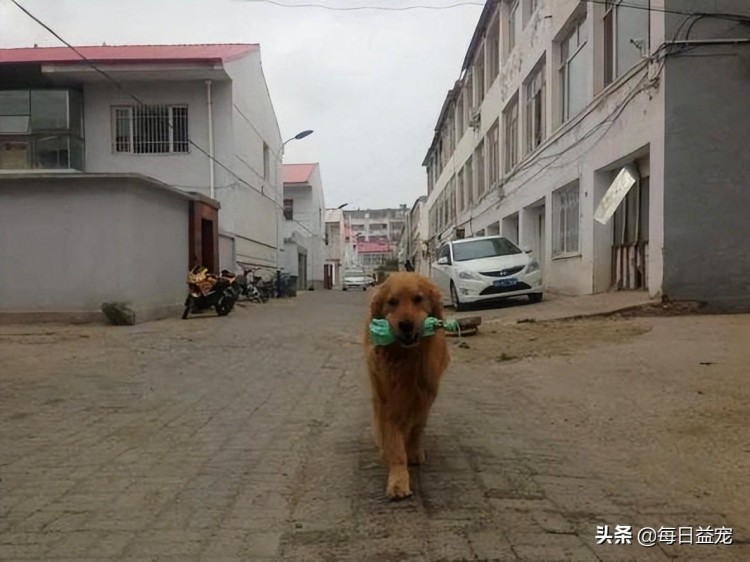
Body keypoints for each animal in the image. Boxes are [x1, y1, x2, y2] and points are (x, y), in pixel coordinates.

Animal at [366, 272, 450, 498]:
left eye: (418, 299)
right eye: (392, 302)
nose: (406, 324)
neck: (406, 358)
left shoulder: (425, 394)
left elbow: (416, 428)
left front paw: (413, 452)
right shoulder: (388, 399)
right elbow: (394, 443)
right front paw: (398, 480)